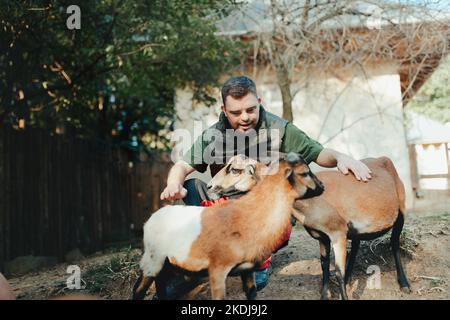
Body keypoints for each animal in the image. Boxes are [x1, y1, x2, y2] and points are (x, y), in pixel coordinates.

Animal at [132, 152, 326, 300]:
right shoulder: (218, 270)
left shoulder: (247, 270)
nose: (322, 186)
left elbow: (252, 293)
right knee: (139, 288)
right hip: (154, 259)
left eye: (234, 170)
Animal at [207, 155, 412, 300]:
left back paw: (404, 284)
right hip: (355, 229)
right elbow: (324, 266)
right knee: (355, 246)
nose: (209, 187)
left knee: (394, 244)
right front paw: (325, 295)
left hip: (400, 212)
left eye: (235, 170)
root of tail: (383, 159)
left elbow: (337, 271)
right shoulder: (322, 236)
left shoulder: (337, 233)